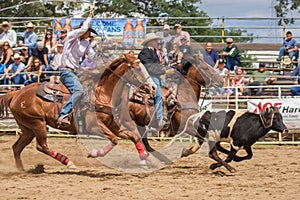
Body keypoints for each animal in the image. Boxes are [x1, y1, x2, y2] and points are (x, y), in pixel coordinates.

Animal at [0, 53, 150, 170]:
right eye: (137, 68)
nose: (150, 87)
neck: (102, 94)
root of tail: (16, 93)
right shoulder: (94, 127)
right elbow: (114, 140)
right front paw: (94, 153)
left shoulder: (113, 126)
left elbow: (134, 137)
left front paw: (143, 159)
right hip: (37, 123)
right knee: (41, 146)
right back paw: (68, 162)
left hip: (28, 129)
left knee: (16, 147)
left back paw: (20, 169)